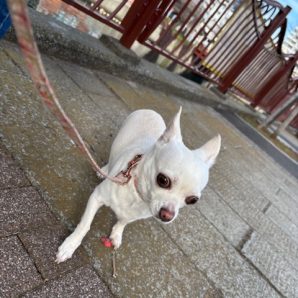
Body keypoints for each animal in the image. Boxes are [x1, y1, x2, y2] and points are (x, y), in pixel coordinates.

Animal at [56, 108, 220, 262]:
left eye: (192, 200)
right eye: (163, 180)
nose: (167, 215)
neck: (138, 194)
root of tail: (151, 111)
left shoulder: (134, 215)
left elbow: (124, 221)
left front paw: (117, 233)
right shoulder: (97, 197)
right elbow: (85, 225)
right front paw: (70, 245)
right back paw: (104, 170)